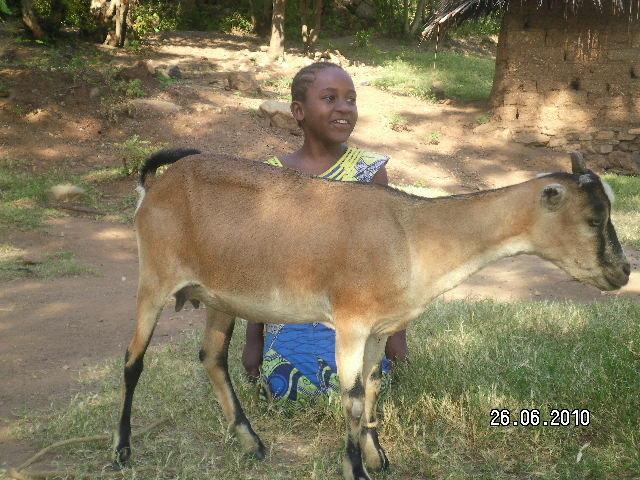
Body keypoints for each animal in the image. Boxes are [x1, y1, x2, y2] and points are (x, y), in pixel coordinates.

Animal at [114, 150, 632, 480]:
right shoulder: (351, 323)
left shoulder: (381, 329)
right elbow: (352, 396)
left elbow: (375, 387)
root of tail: (154, 185)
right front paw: (355, 468)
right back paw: (122, 450)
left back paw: (252, 443)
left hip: (218, 298)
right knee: (133, 360)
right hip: (154, 279)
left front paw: (378, 458)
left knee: (211, 358)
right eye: (593, 219)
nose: (623, 271)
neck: (411, 233)